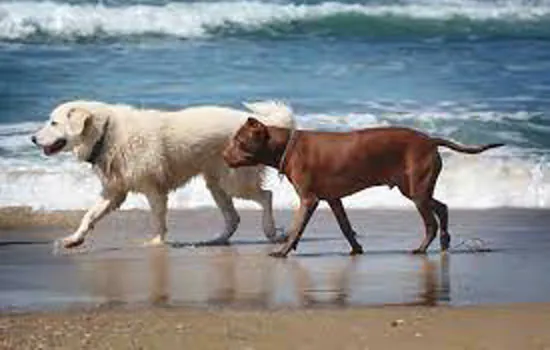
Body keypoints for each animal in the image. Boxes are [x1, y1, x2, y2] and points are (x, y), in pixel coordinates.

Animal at [31, 100, 296, 249]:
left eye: (53, 123)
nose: (32, 138)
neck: (106, 134)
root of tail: (261, 125)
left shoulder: (154, 189)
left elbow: (158, 219)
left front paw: (156, 243)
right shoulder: (114, 192)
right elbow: (88, 216)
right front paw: (73, 239)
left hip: (234, 181)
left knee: (267, 196)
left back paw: (271, 231)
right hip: (216, 183)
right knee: (233, 217)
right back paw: (217, 240)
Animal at [223, 119, 504, 258]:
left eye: (239, 141)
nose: (224, 156)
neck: (287, 146)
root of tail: (429, 140)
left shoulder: (309, 199)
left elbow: (296, 229)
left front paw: (282, 251)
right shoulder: (333, 199)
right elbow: (346, 227)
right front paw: (356, 249)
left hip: (417, 192)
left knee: (431, 223)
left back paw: (422, 248)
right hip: (415, 189)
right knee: (442, 208)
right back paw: (445, 243)